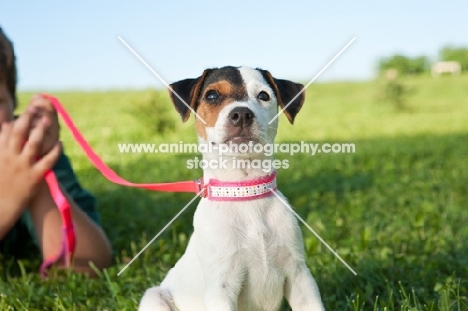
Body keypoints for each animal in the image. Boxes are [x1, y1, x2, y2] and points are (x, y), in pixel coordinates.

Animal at [137, 66, 324, 311]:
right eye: (211, 95)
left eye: (263, 95)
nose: (241, 114)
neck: (244, 191)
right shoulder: (221, 288)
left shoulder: (300, 275)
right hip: (154, 297)